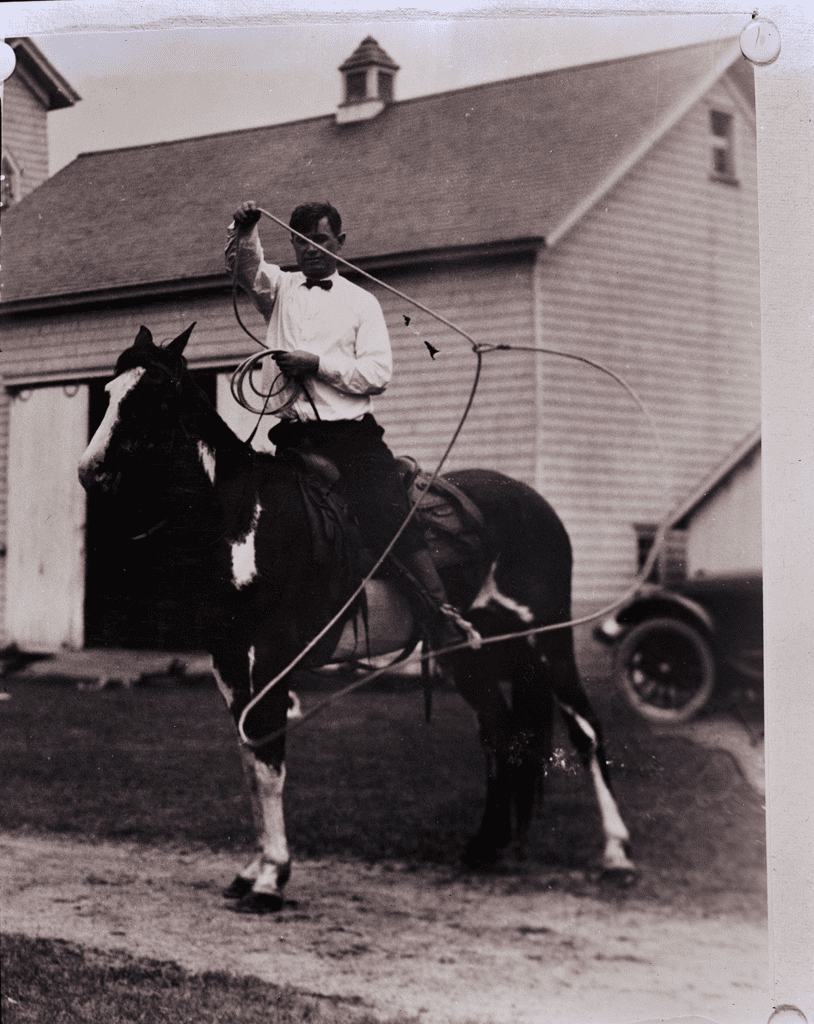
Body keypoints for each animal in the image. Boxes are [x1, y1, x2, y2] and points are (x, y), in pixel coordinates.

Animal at [78, 323, 635, 913]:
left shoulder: (270, 656)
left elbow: (269, 760)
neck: (248, 516)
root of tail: (535, 503)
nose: (92, 472)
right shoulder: (228, 658)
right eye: (109, 391)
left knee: (586, 730)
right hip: (464, 652)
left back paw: (616, 853)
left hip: (548, 639)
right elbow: (251, 760)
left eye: (154, 396)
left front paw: (271, 878)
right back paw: (486, 847)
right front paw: (252, 869)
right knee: (498, 730)